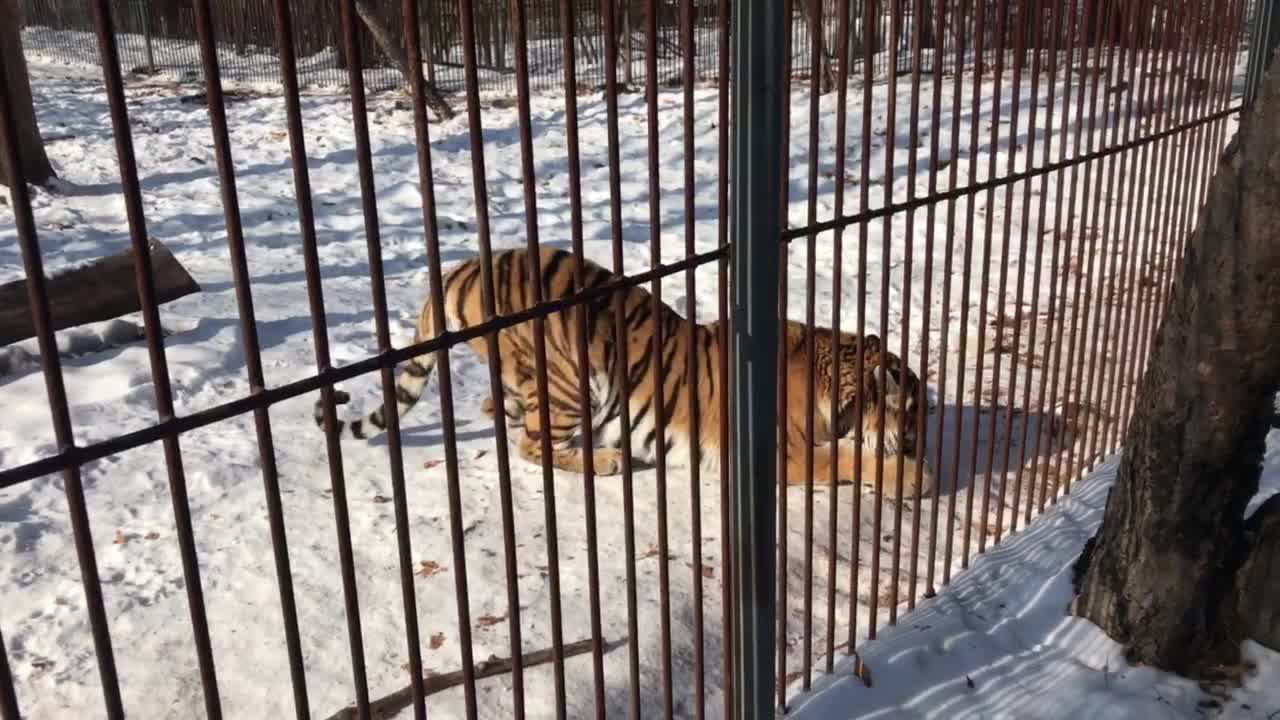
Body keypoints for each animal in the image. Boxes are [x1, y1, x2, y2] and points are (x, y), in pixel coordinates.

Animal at [317, 243, 942, 497]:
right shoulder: (781, 454)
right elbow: (849, 456)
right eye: (913, 417)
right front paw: (915, 478)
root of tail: (459, 270)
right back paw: (608, 460)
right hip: (569, 381)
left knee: (504, 410)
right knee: (532, 444)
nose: (919, 444)